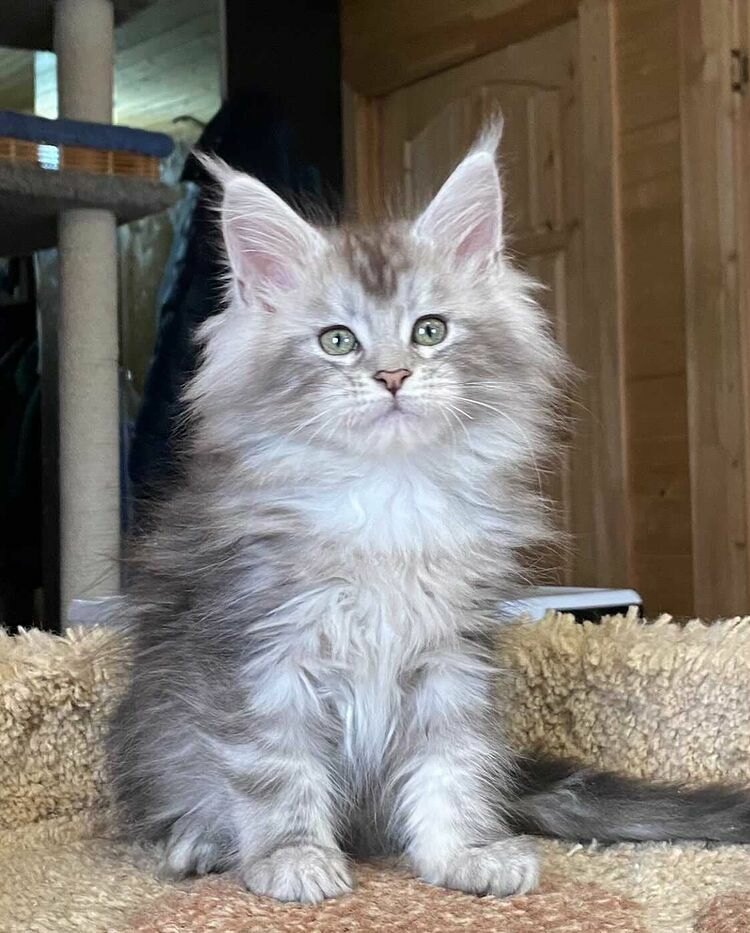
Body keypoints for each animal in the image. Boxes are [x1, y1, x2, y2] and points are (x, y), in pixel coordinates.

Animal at [108, 124, 750, 904]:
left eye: (430, 330)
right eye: (337, 340)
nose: (392, 375)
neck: (390, 498)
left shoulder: (450, 655)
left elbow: (452, 765)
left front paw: (463, 853)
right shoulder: (260, 650)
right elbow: (275, 769)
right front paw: (292, 857)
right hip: (158, 732)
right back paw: (200, 841)